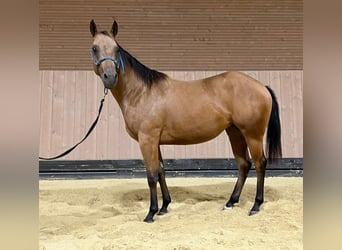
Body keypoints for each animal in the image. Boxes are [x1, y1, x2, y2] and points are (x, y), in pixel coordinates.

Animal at [89, 20, 282, 223]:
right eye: (94, 48)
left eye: (116, 49)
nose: (110, 77)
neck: (141, 93)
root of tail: (262, 87)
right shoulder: (155, 141)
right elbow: (161, 171)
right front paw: (164, 207)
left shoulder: (147, 139)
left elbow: (151, 175)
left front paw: (151, 213)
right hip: (235, 132)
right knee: (244, 164)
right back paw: (230, 202)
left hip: (252, 134)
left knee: (260, 163)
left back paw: (256, 205)